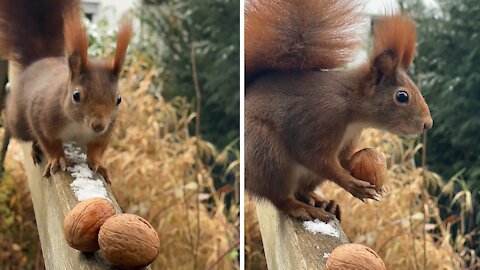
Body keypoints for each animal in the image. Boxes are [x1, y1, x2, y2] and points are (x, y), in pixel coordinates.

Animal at [0, 0, 132, 184]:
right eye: (76, 95)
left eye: (119, 99)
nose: (98, 125)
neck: (78, 125)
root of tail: (39, 61)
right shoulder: (42, 115)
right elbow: (49, 142)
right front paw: (57, 158)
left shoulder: (106, 131)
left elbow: (97, 148)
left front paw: (98, 163)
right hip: (19, 123)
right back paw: (34, 147)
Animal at [246, 0, 434, 220]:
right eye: (402, 96)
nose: (427, 124)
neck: (352, 107)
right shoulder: (322, 118)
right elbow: (313, 157)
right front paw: (351, 184)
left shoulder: (350, 138)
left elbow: (344, 159)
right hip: (267, 156)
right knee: (280, 198)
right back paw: (301, 208)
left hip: (307, 176)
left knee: (301, 189)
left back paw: (320, 201)